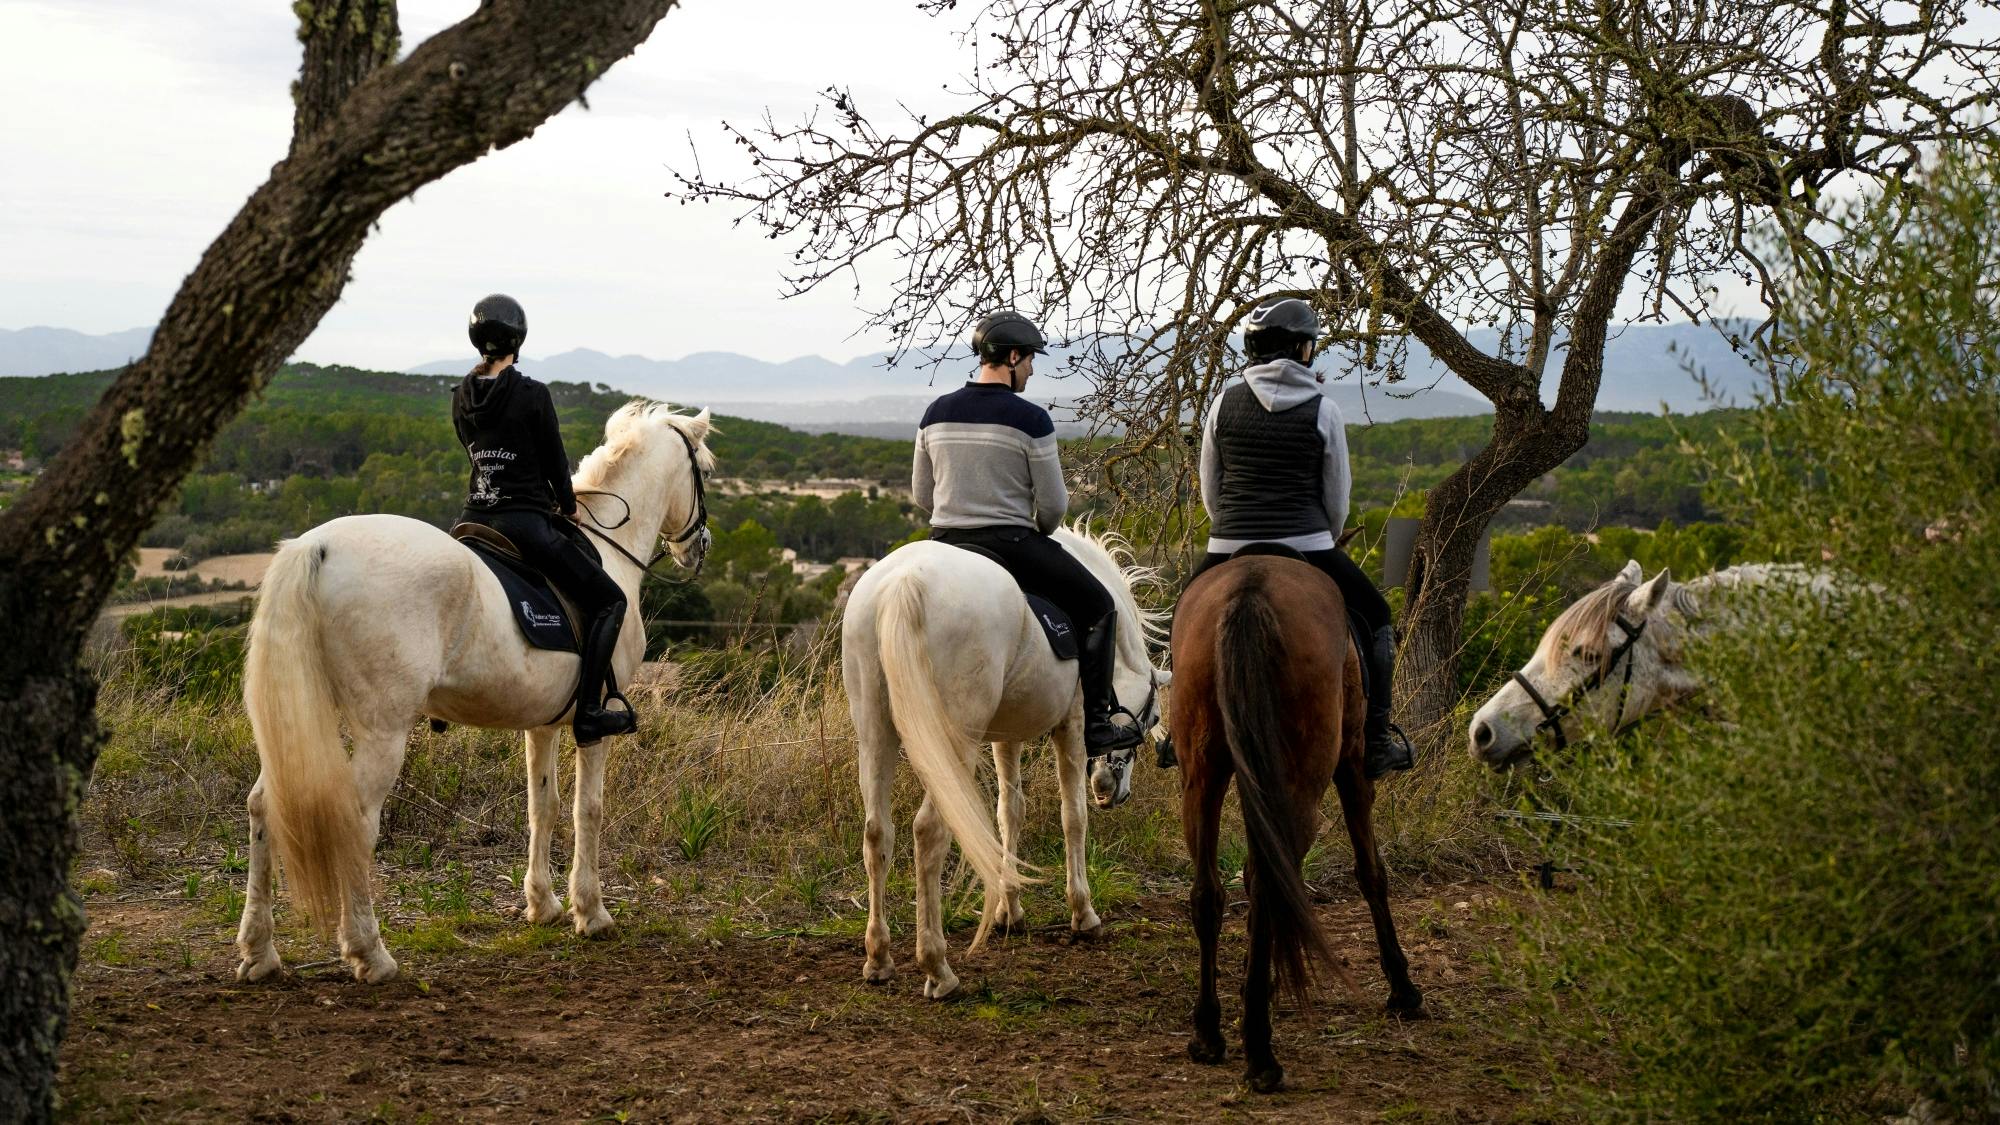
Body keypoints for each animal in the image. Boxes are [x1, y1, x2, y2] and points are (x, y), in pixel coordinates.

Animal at [234, 401, 714, 983]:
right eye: (704, 471)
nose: (699, 549)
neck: (608, 549)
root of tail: (317, 546)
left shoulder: (543, 723)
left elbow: (544, 805)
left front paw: (543, 905)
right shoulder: (591, 723)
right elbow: (589, 809)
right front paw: (592, 912)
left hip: (301, 719)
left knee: (264, 805)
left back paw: (260, 951)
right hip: (381, 729)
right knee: (356, 820)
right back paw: (370, 953)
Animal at [840, 524, 1170, 999]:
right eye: (1155, 717)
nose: (1112, 791)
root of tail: (905, 582)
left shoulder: (1005, 736)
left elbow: (1008, 813)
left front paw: (1009, 909)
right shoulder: (1072, 727)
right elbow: (1073, 817)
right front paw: (1083, 913)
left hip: (874, 730)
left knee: (876, 832)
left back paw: (879, 959)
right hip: (952, 741)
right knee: (930, 831)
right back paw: (937, 968)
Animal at [1170, 550, 1424, 1092]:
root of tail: (1248, 593)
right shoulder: (1353, 769)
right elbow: (1372, 873)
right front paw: (1402, 987)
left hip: (1202, 776)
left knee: (1210, 892)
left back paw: (1208, 1033)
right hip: (1303, 784)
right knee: (1272, 880)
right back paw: (1260, 1052)